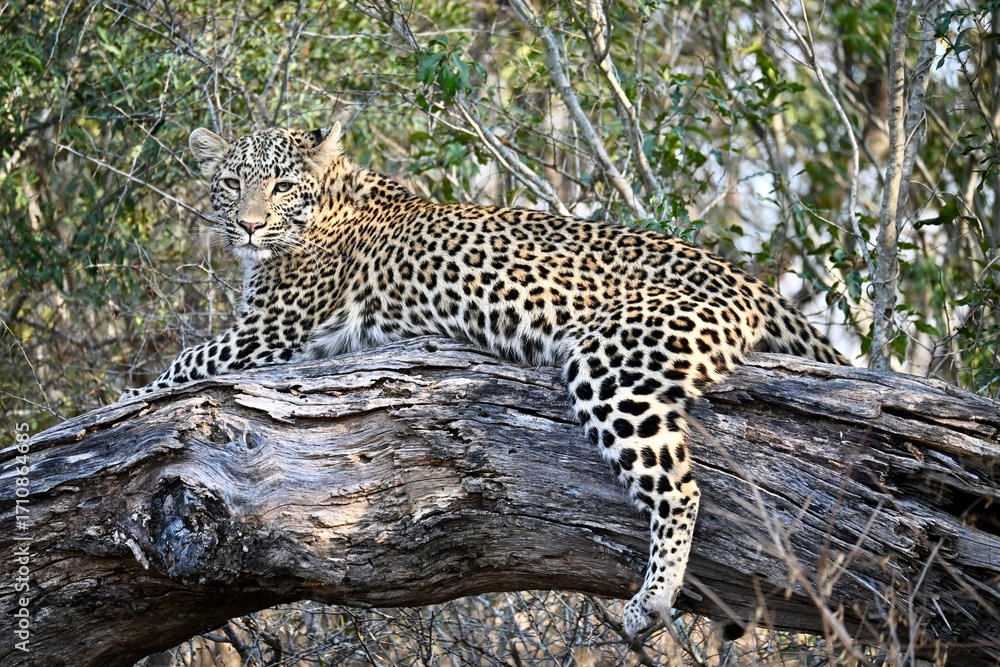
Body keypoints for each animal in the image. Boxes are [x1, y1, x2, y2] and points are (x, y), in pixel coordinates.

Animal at [120, 121, 847, 637]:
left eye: (279, 187)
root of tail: (753, 282)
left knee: (682, 489)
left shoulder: (269, 331)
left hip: (612, 365)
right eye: (231, 182)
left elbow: (176, 367)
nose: (248, 226)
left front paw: (115, 402)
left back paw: (652, 601)